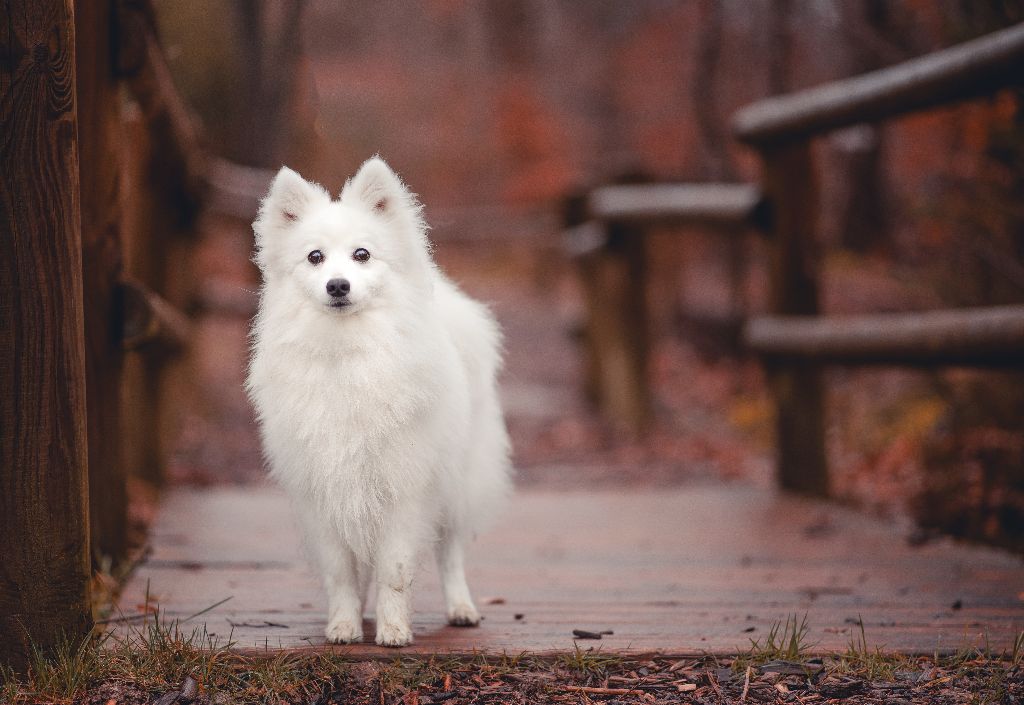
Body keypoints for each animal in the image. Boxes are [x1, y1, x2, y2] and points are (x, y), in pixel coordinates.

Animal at [243, 156, 507, 647]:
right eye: (315, 257)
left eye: (361, 255)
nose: (338, 285)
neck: (348, 353)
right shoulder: (325, 492)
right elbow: (342, 573)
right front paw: (344, 626)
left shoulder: (403, 490)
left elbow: (395, 571)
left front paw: (394, 630)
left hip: (457, 482)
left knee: (450, 553)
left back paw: (461, 608)